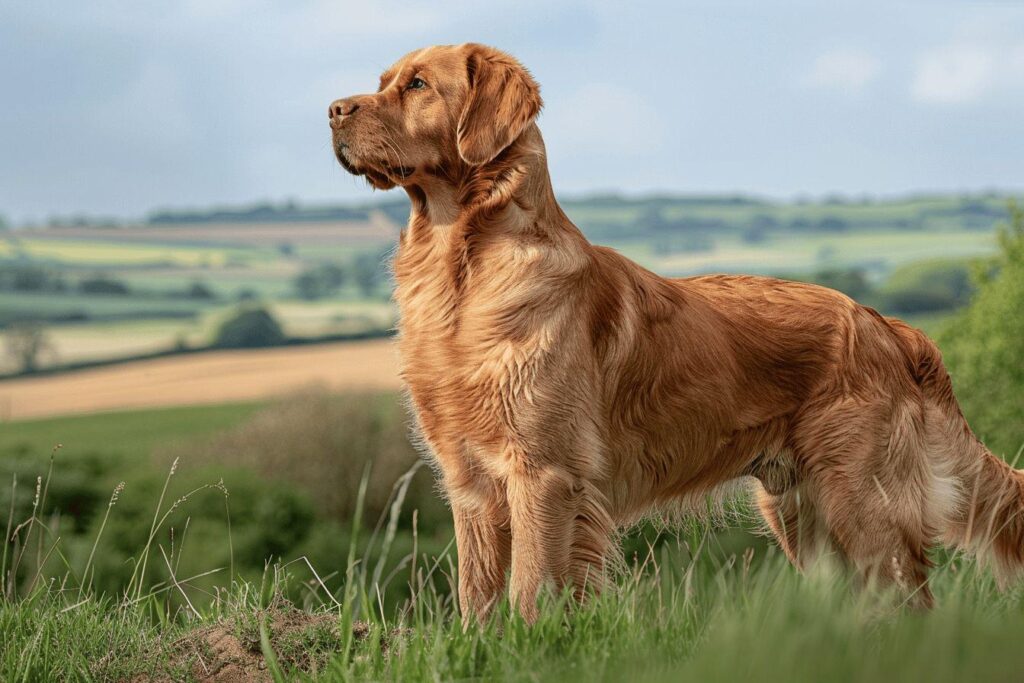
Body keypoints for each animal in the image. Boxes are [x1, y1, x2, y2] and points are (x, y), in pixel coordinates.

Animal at [329, 40, 1024, 622]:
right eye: (382, 82)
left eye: (417, 85)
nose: (333, 110)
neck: (459, 274)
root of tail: (886, 324)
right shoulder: (471, 482)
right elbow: (477, 596)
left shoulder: (544, 472)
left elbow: (530, 591)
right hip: (800, 512)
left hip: (861, 500)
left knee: (913, 602)